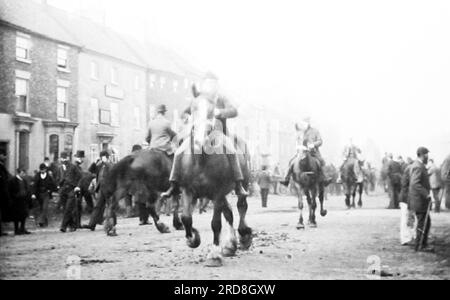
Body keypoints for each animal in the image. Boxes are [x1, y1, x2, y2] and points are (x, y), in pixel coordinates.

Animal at [176, 94, 253, 268]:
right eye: (192, 109)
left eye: (211, 110)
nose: (199, 139)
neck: (201, 160)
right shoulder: (187, 190)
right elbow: (186, 218)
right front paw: (192, 238)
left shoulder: (218, 192)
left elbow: (216, 223)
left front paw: (214, 256)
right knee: (229, 212)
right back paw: (230, 245)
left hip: (242, 183)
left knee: (241, 206)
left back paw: (244, 236)